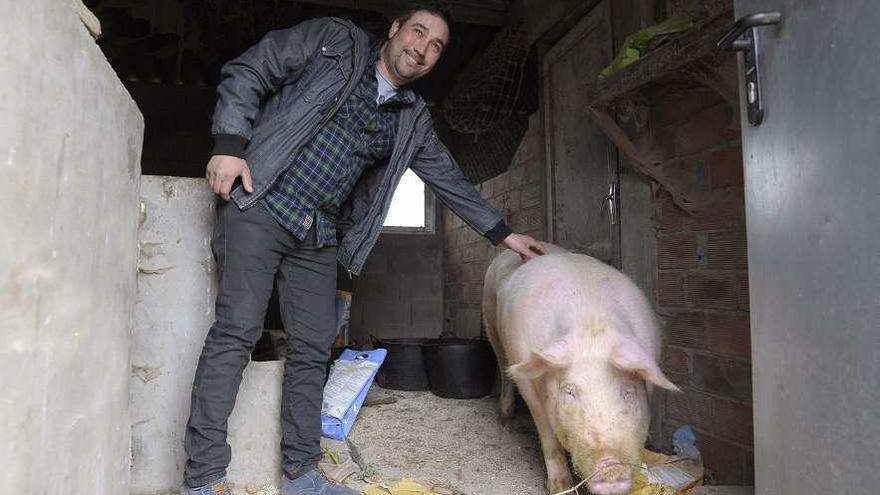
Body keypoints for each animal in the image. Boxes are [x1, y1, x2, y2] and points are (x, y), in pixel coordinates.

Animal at [482, 245, 680, 495]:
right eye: (569, 392)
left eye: (628, 391)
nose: (611, 468)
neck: (592, 325)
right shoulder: (527, 380)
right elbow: (548, 435)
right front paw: (560, 487)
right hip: (491, 324)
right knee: (503, 368)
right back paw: (505, 420)